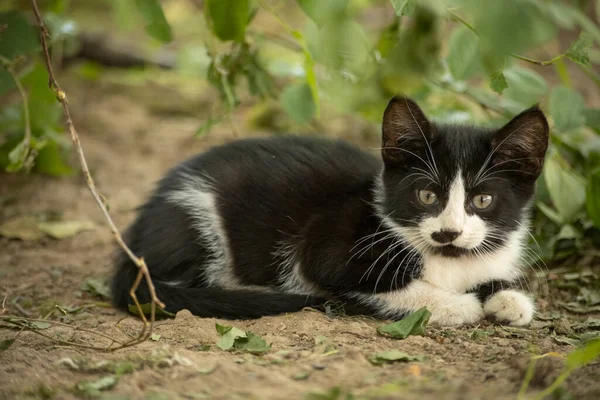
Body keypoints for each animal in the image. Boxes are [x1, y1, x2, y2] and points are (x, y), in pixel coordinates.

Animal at [112, 98, 548, 326]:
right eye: (427, 195)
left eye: (482, 200)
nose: (449, 232)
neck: (449, 260)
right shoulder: (323, 248)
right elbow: (395, 290)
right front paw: (461, 304)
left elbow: (493, 278)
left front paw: (509, 299)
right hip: (194, 215)